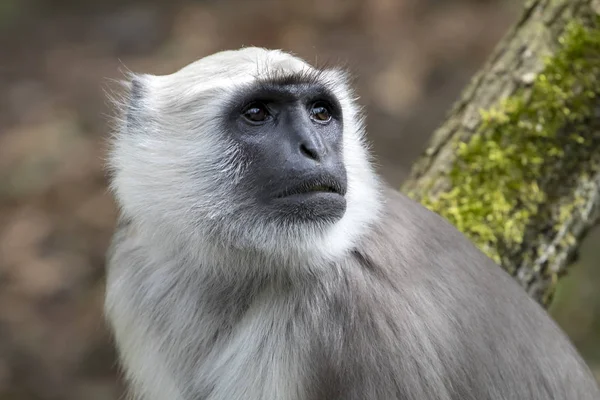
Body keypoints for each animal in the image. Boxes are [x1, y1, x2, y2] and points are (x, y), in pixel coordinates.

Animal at [104, 47, 600, 400]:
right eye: (257, 113)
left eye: (320, 113)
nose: (313, 148)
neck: (239, 272)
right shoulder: (136, 271)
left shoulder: (354, 319)